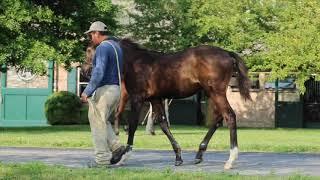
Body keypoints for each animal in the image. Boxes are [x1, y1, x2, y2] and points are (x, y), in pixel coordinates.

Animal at [119, 38, 251, 169]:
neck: (136, 62)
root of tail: (227, 53)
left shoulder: (137, 98)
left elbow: (133, 124)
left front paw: (123, 157)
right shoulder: (155, 99)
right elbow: (163, 124)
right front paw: (178, 157)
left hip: (216, 93)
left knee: (229, 115)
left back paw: (230, 160)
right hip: (212, 93)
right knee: (219, 118)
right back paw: (199, 154)